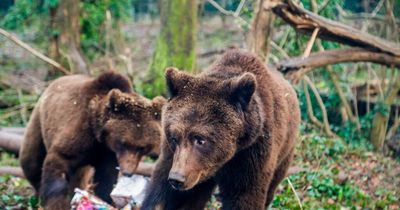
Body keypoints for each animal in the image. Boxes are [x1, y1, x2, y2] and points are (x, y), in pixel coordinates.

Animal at [18, 71, 166, 209]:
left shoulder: (108, 154)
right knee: (31, 160)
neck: (99, 135)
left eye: (143, 147)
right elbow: (59, 161)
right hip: (39, 121)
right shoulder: (79, 135)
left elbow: (106, 179)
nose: (128, 172)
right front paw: (57, 203)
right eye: (124, 143)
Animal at [141, 50, 300, 209]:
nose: (177, 178)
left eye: (201, 139)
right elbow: (162, 191)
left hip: (285, 153)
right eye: (174, 138)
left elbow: (244, 196)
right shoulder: (174, 156)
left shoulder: (251, 155)